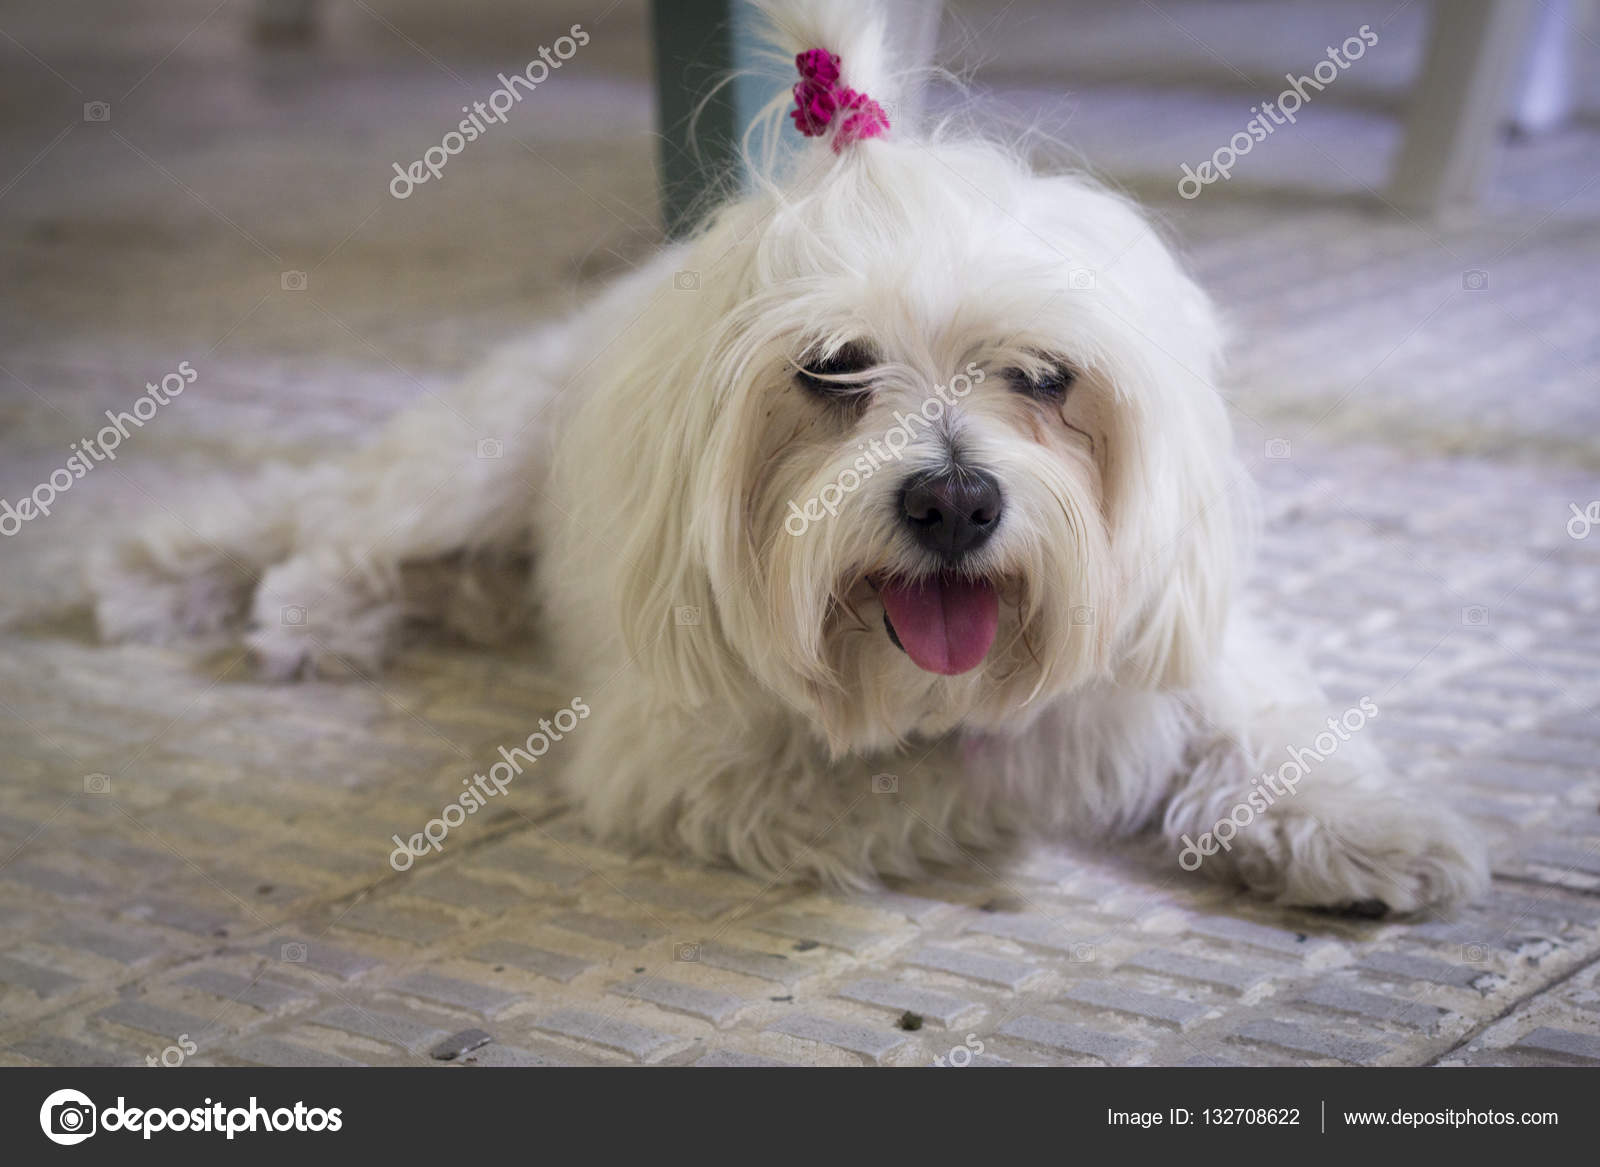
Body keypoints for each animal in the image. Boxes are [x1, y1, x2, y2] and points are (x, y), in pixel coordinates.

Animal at [87, 0, 1484, 909]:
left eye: (1043, 377)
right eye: (833, 369)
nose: (955, 501)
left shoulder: (1189, 625)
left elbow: (1259, 721)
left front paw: (1356, 832)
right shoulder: (692, 764)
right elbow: (958, 784)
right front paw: (1076, 772)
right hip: (468, 466)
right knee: (320, 517)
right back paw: (269, 601)